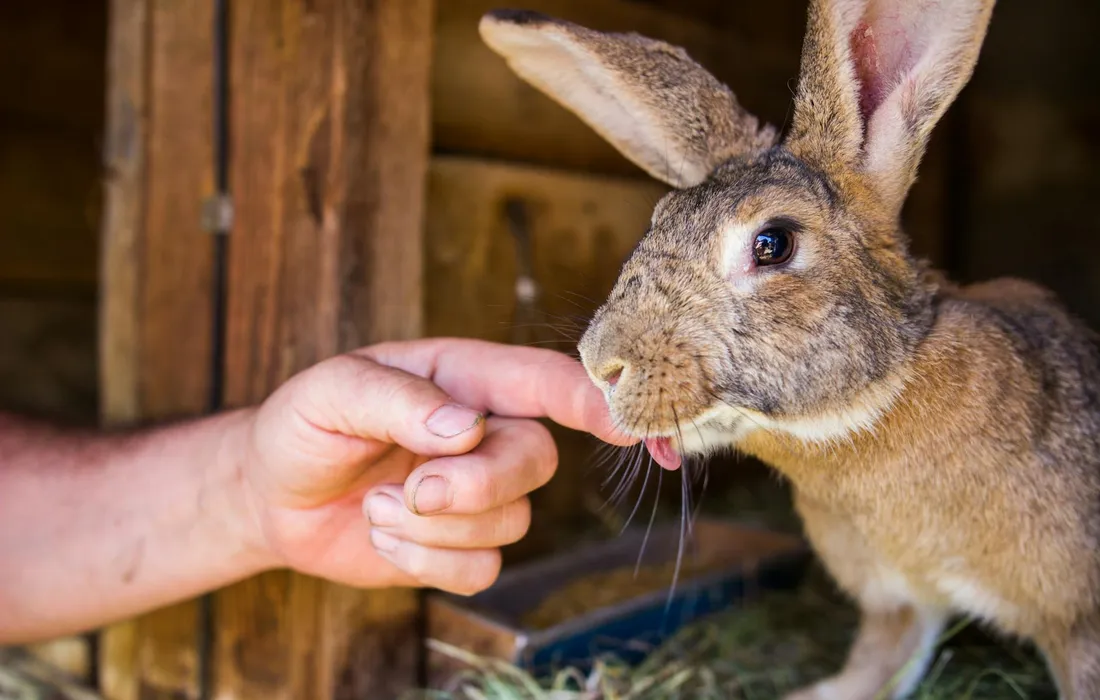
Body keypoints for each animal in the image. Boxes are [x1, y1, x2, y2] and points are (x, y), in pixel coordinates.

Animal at [478, 2, 1100, 699]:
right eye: (657, 222)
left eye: (772, 243)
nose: (600, 363)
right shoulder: (899, 602)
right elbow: (878, 663)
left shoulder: (1080, 623)